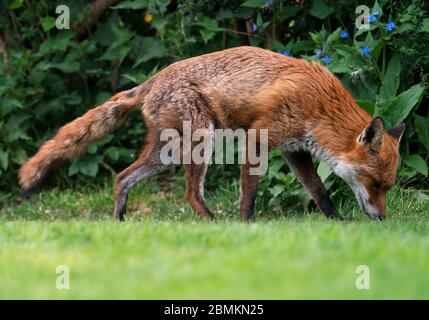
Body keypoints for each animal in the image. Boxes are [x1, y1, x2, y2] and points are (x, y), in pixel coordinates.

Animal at [18, 46, 402, 221]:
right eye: (376, 184)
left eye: (387, 186)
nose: (383, 219)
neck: (321, 104)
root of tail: (151, 81)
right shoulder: (258, 138)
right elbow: (249, 193)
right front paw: (247, 225)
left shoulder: (295, 150)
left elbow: (319, 191)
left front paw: (337, 223)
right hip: (201, 140)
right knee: (190, 192)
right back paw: (214, 225)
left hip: (165, 153)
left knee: (123, 177)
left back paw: (119, 221)